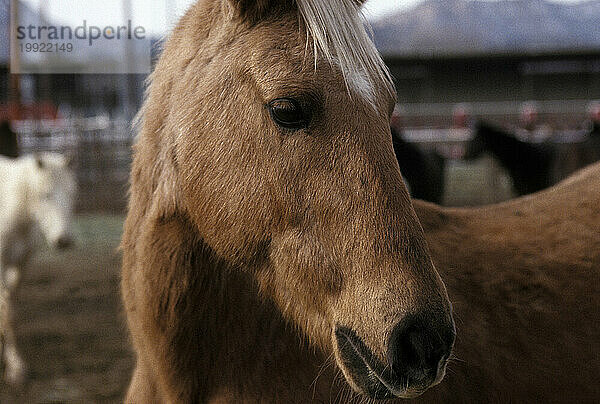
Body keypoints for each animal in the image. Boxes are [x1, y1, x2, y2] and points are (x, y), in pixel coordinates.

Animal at [0, 152, 77, 386]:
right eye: (46, 195)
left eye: (72, 194)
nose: (64, 240)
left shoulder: (20, 265)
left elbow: (11, 313)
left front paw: (15, 366)